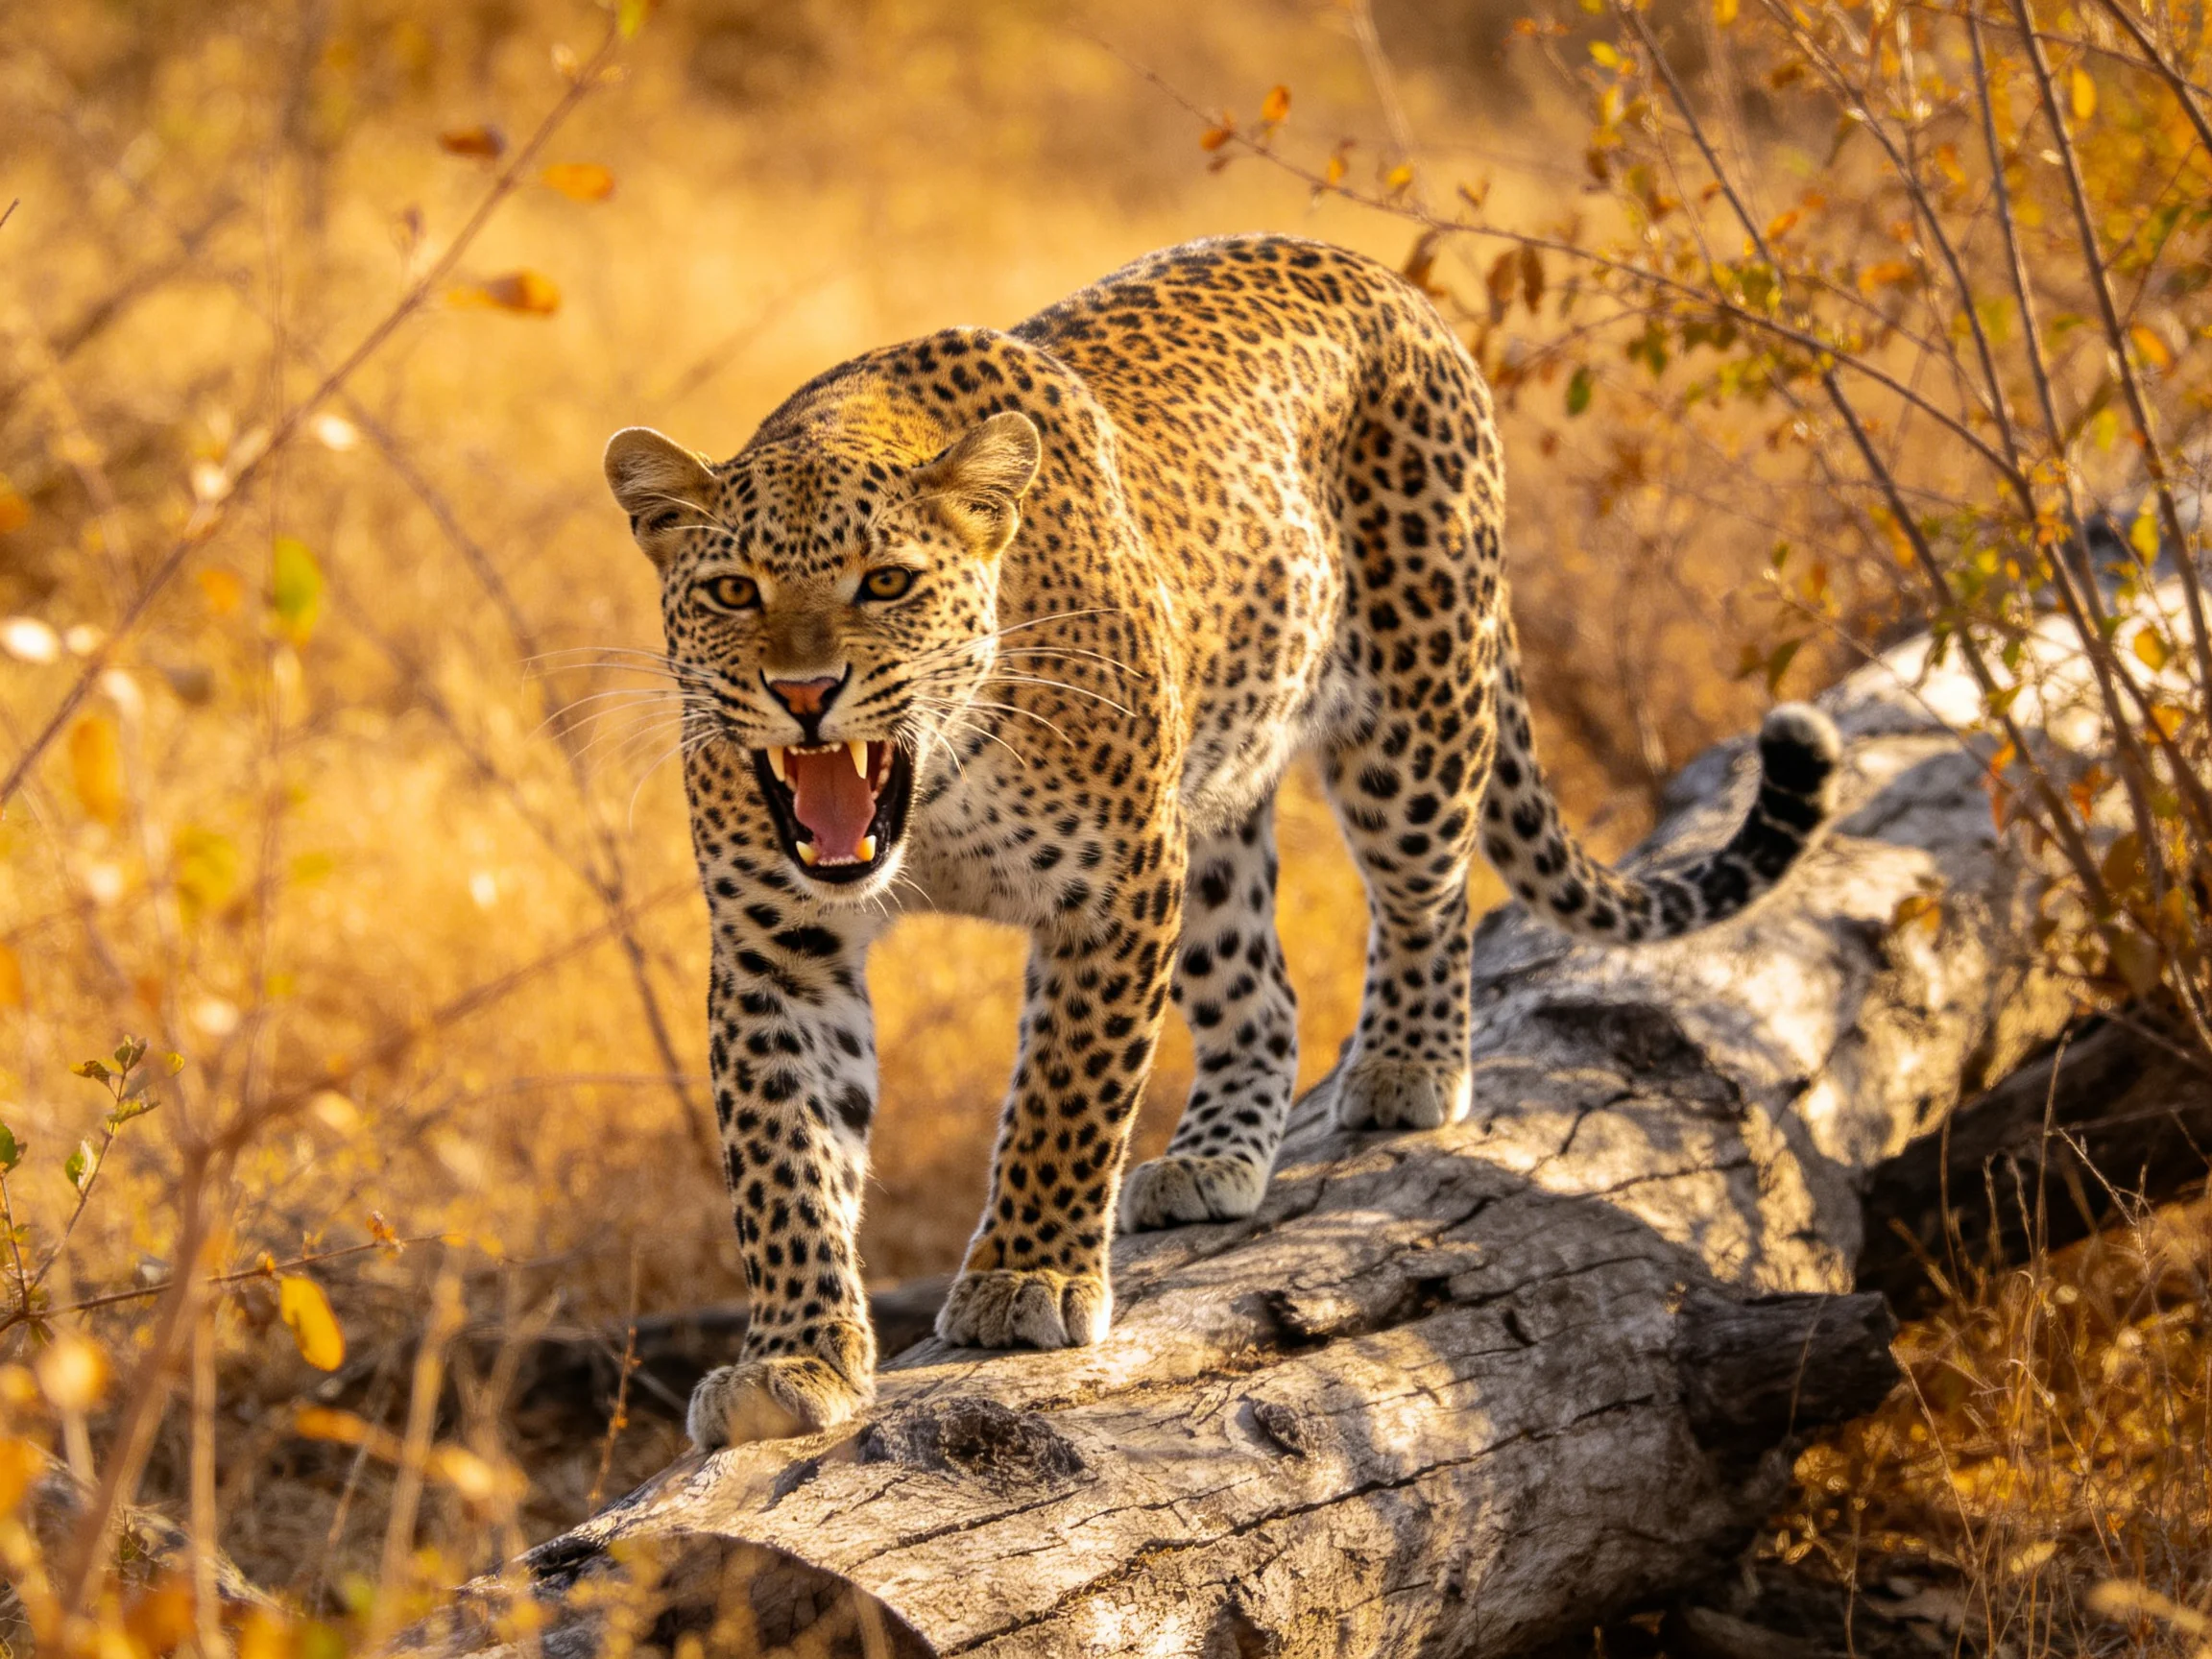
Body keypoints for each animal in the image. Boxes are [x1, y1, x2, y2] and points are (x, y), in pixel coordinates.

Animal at [601, 233, 1842, 1453]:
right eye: (732, 590)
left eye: (888, 582)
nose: (806, 693)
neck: (933, 800)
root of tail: (1381, 278)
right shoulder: (777, 942)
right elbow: (783, 1156)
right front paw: (793, 1356)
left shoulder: (1114, 886)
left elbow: (1066, 1093)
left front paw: (1027, 1277)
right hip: (1215, 824)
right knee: (1265, 999)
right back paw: (1214, 1158)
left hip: (1413, 717)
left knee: (1429, 898)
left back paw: (1408, 1065)